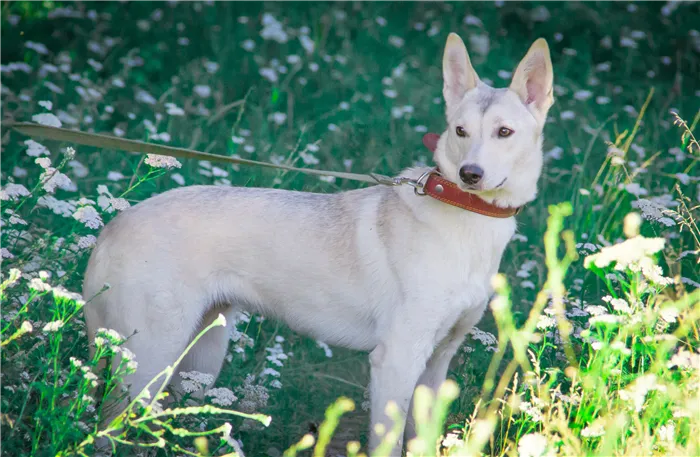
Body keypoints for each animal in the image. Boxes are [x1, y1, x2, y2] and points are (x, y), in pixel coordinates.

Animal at [82, 32, 552, 452]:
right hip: (147, 367)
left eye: (504, 132)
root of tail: (113, 225)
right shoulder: (396, 361)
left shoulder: (437, 364)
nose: (470, 174)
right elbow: (388, 444)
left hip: (198, 363)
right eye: (460, 130)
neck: (466, 217)